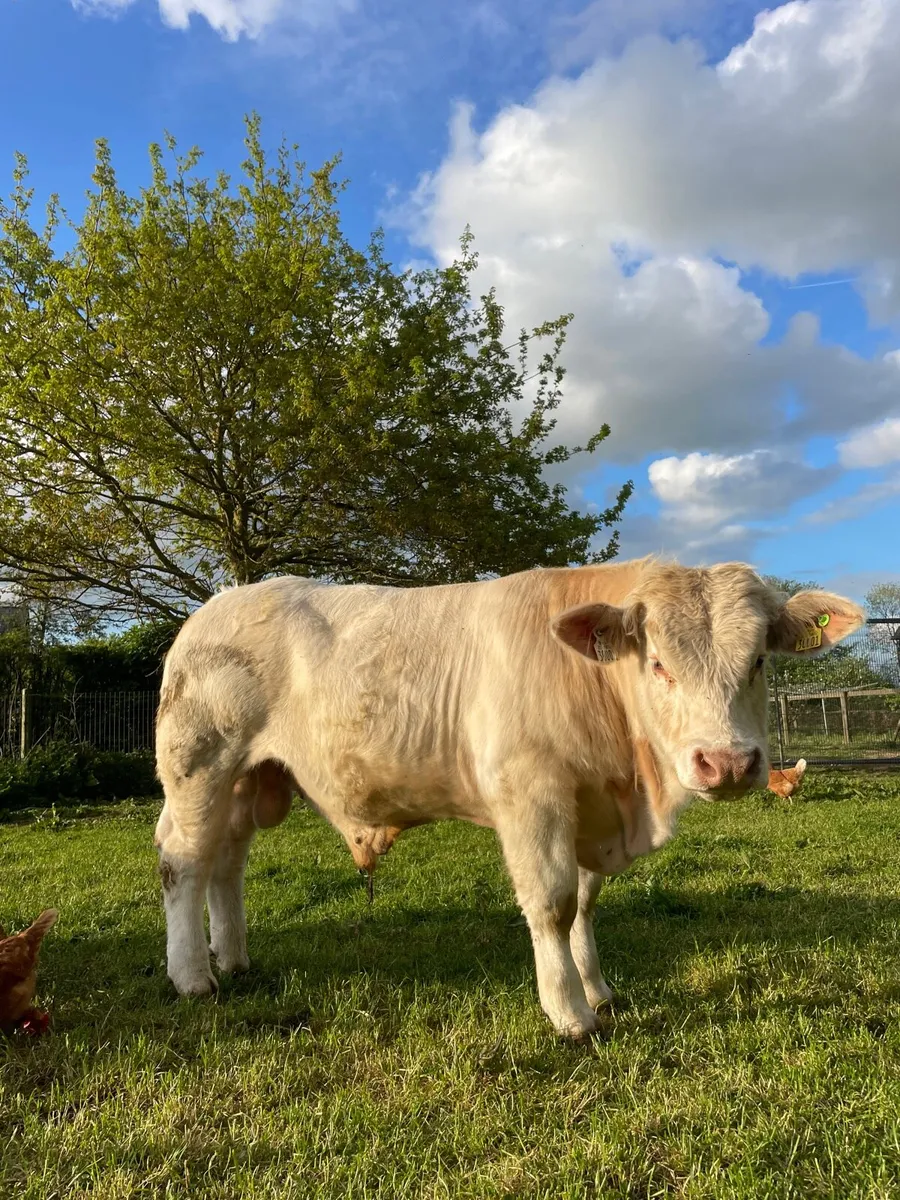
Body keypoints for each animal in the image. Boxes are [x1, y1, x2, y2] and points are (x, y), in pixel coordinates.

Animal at [153, 558, 863, 1038]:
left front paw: (599, 989)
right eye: (658, 662)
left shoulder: (586, 808)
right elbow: (551, 903)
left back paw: (234, 959)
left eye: (759, 661)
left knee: (226, 863)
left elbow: (584, 904)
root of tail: (213, 607)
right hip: (199, 765)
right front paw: (571, 1012)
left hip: (246, 778)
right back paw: (193, 977)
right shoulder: (533, 795)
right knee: (183, 862)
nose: (728, 763)